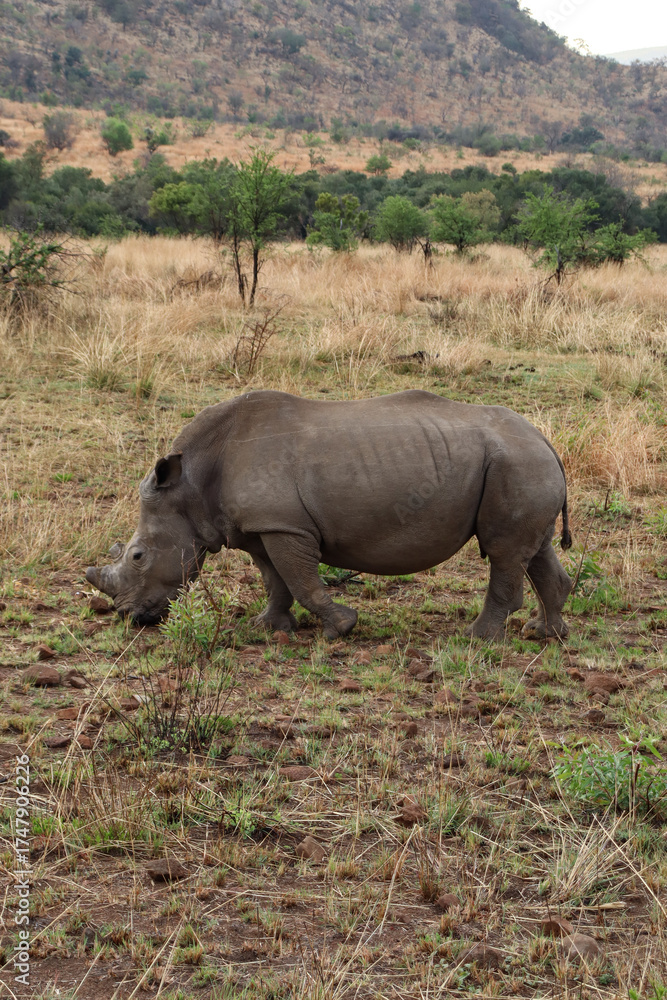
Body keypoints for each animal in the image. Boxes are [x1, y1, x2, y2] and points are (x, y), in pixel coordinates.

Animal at [86, 390, 573, 640]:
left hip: (516, 463)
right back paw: (544, 632)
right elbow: (275, 580)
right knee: (535, 550)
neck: (189, 485)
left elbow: (301, 581)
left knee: (503, 551)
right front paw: (270, 627)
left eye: (137, 557)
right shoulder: (263, 527)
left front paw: (340, 627)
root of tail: (545, 440)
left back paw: (476, 639)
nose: (129, 617)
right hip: (524, 464)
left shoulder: (284, 525)